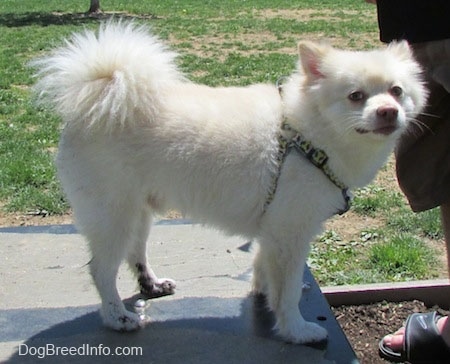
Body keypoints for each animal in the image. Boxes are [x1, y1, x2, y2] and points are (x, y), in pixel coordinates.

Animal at [33, 22, 428, 344]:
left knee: (136, 254)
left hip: (139, 213)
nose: (388, 111)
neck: (307, 132)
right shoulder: (290, 232)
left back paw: (152, 285)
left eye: (396, 91)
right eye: (355, 96)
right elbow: (287, 293)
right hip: (114, 216)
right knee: (101, 270)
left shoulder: (273, 230)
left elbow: (265, 269)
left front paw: (264, 294)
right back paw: (118, 317)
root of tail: (99, 92)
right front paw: (297, 330)